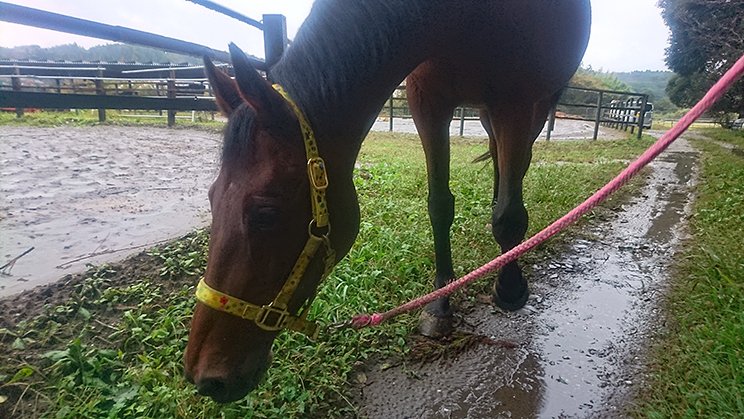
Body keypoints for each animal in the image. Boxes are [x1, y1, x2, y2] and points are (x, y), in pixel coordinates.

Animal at [185, 0, 588, 404]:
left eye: (266, 213)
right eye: (212, 198)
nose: (205, 377)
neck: (459, 18)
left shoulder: (516, 99)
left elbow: (509, 215)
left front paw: (510, 288)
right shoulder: (428, 100)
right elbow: (440, 205)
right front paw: (440, 305)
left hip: (535, 106)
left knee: (515, 171)